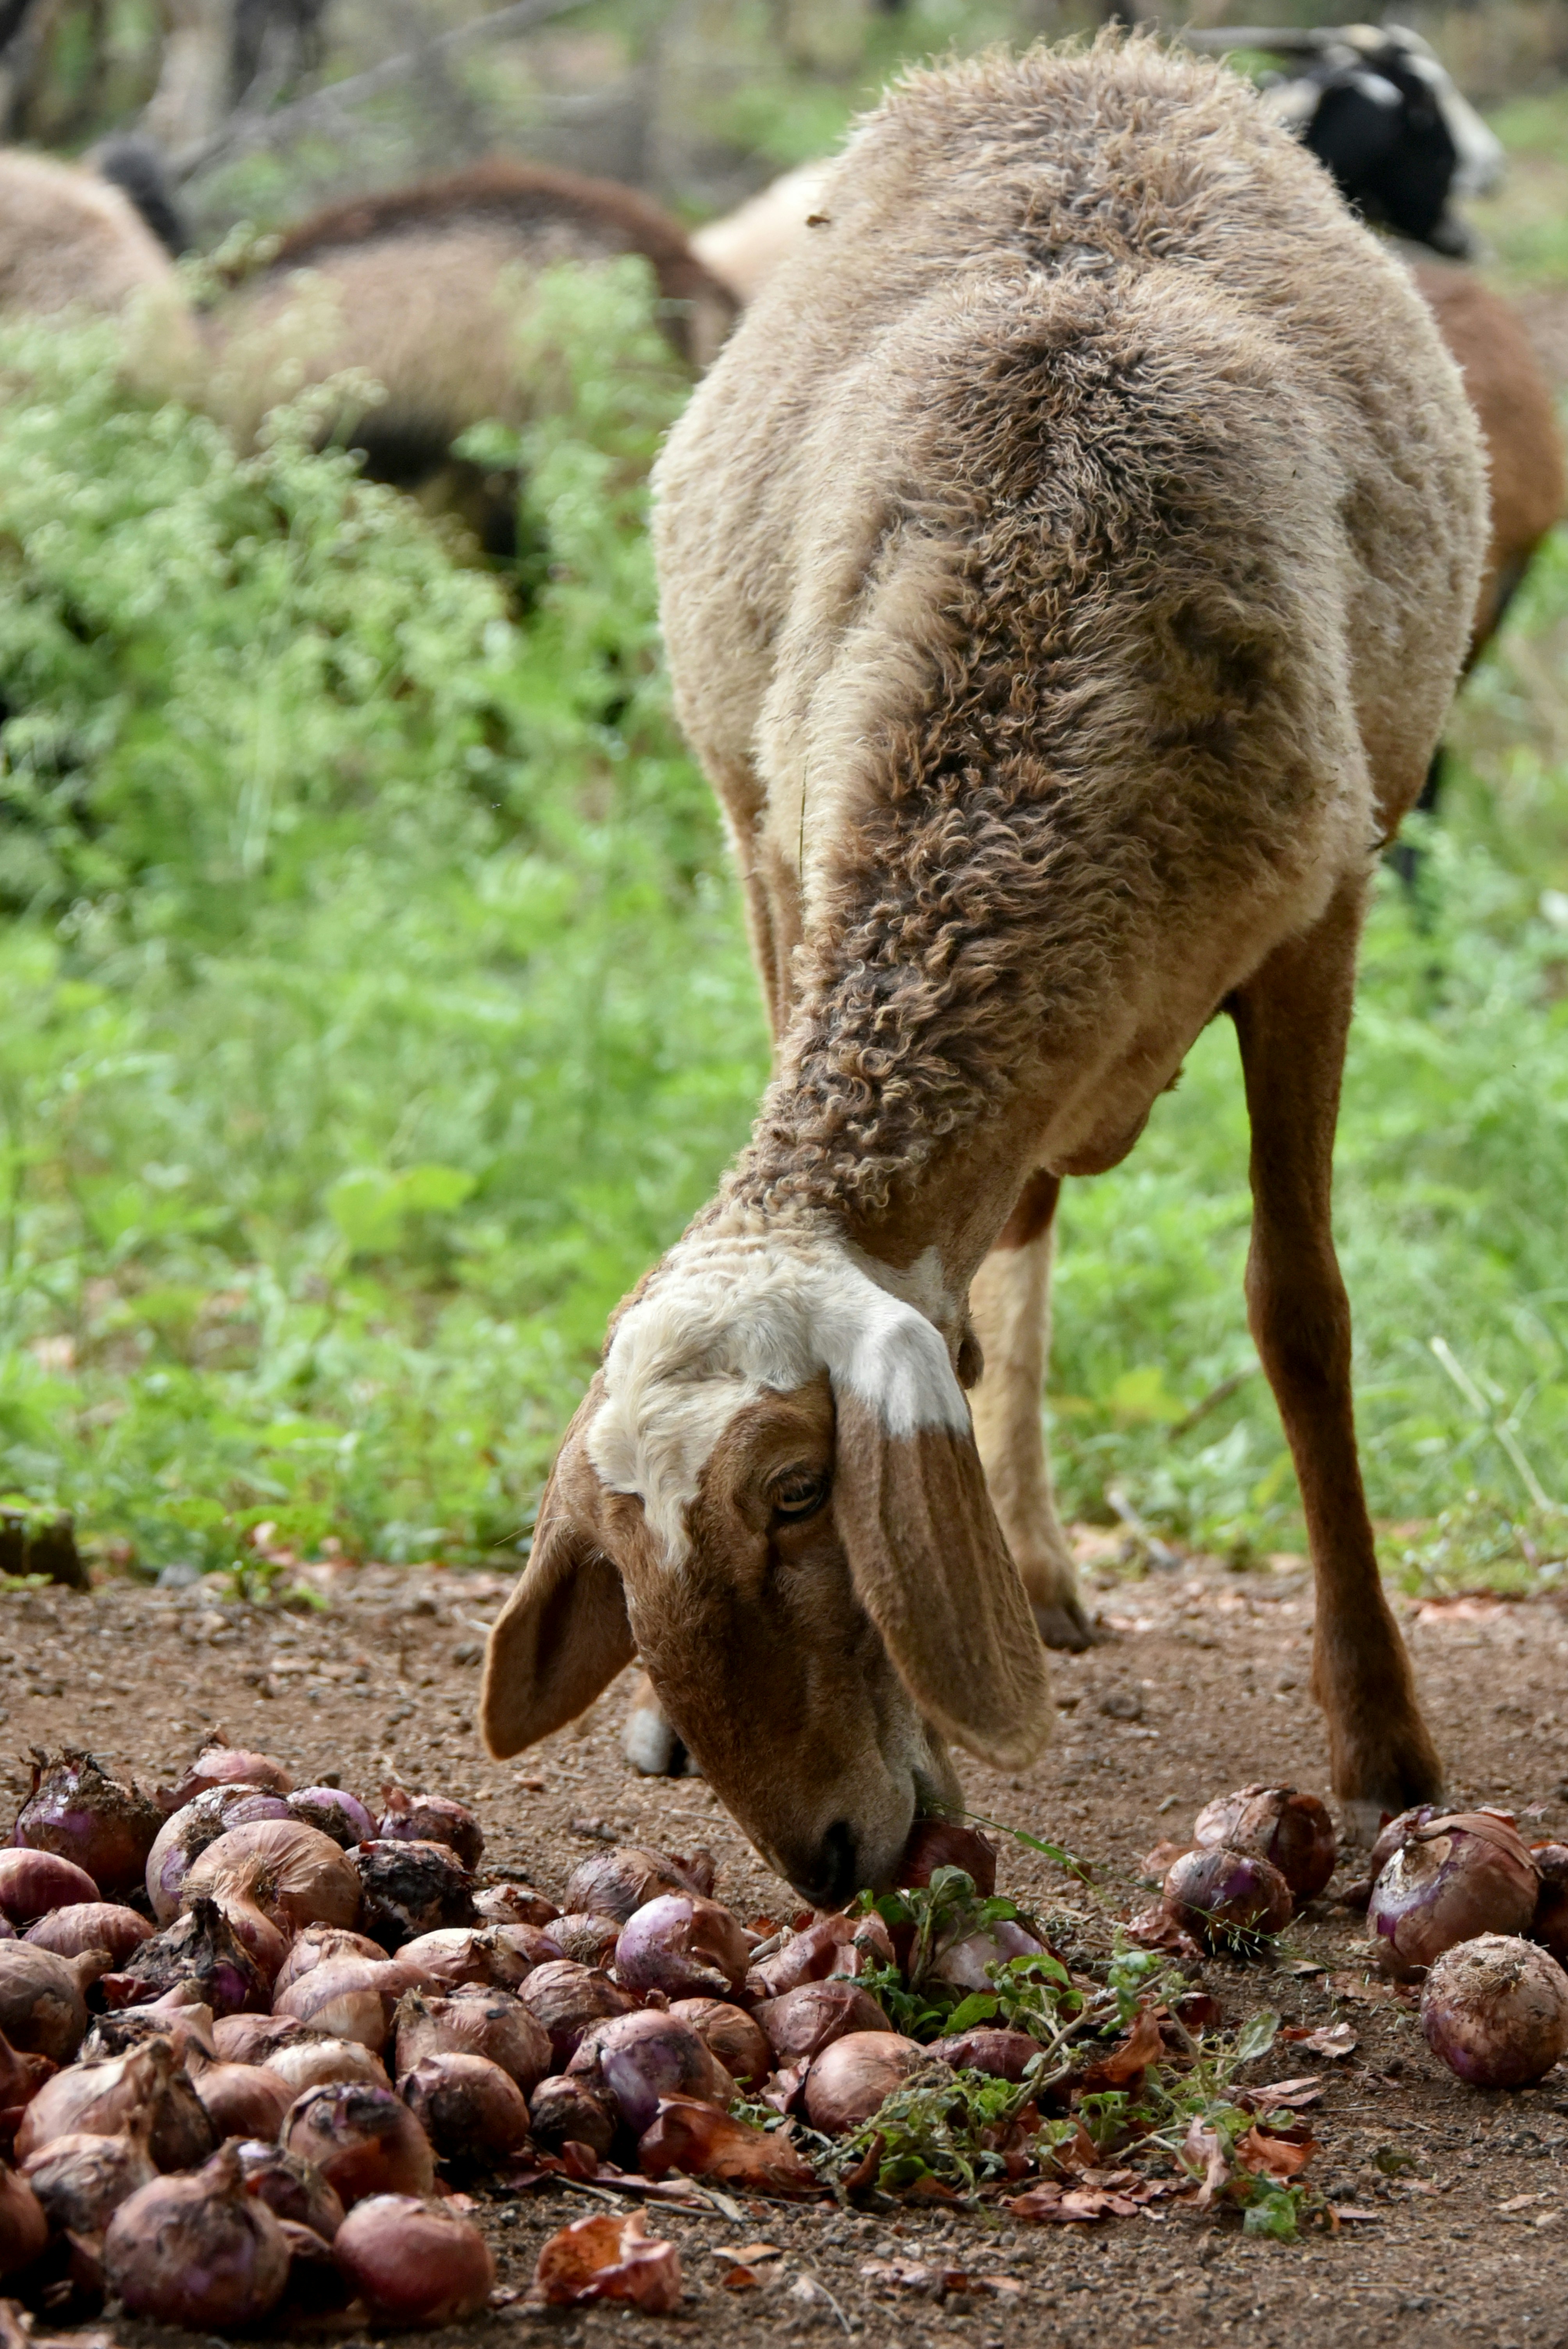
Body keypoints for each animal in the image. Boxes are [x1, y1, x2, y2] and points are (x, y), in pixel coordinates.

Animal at [480, 36, 1485, 1904]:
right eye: (614, 1546)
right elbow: (962, 1309)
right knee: (1002, 1230)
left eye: (801, 1492)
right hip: (751, 832)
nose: (820, 1855)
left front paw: (1384, 1742)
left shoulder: (1320, 915)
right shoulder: (799, 868)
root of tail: (1072, 60)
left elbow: (1299, 1312)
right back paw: (1018, 1563)